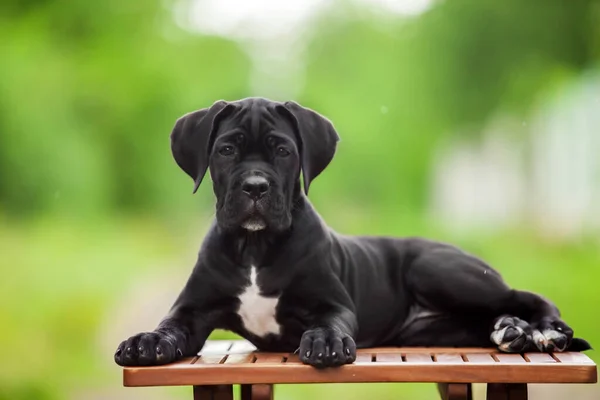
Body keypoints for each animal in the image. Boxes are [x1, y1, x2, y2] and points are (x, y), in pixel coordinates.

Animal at [113, 97, 592, 368]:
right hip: (440, 326)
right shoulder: (191, 312)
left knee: (526, 296)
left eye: (283, 151)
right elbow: (169, 327)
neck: (254, 247)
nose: (255, 187)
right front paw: (146, 341)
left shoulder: (333, 303)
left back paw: (544, 331)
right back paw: (512, 332)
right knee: (492, 317)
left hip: (439, 270)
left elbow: (330, 321)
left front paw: (324, 341)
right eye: (226, 150)